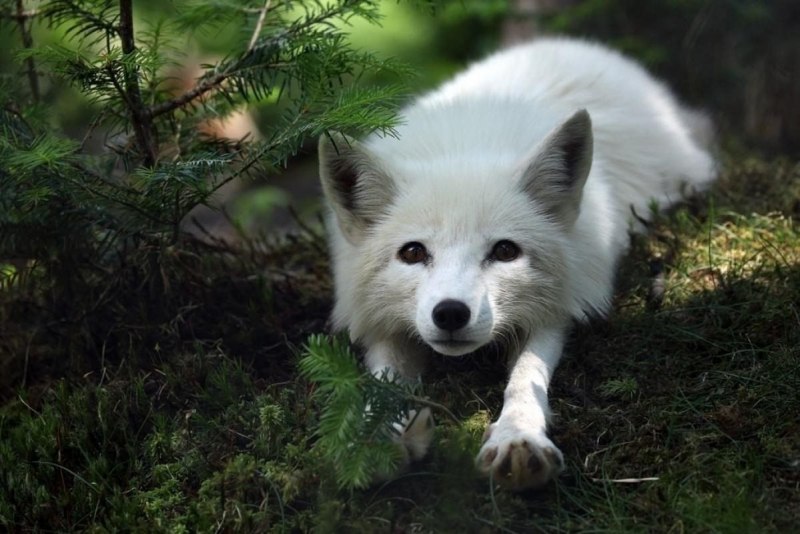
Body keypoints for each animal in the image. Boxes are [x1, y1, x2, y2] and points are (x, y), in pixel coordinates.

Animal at [317, 37, 716, 490]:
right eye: (413, 253)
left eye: (505, 251)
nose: (450, 313)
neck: (464, 146)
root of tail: (574, 45)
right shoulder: (382, 321)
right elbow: (381, 382)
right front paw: (370, 441)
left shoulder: (556, 308)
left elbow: (527, 378)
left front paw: (517, 438)